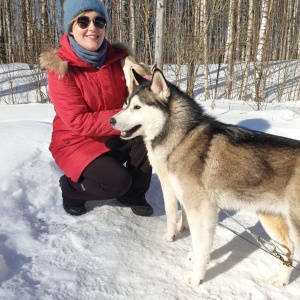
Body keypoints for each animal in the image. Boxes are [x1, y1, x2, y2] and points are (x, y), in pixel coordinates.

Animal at [109, 69, 300, 288]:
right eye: (126, 104)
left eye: (137, 107)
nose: (111, 121)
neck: (183, 136)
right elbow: (199, 242)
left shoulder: (198, 208)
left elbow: (195, 239)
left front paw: (196, 277)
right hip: (269, 217)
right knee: (289, 249)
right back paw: (281, 280)